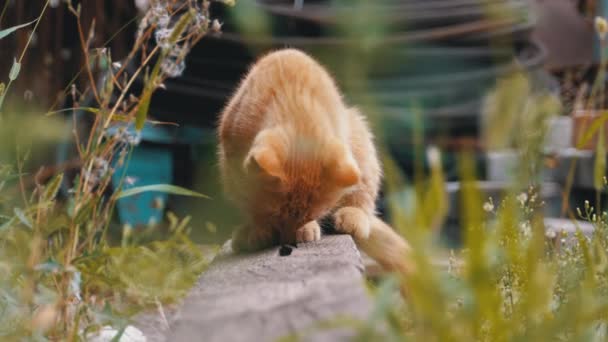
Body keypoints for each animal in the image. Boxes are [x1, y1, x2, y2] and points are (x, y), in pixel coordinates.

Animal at [217, 49, 414, 276]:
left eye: (309, 215)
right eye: (276, 215)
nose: (287, 241)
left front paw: (306, 228)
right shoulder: (231, 167)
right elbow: (250, 203)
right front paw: (259, 228)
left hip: (359, 135)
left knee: (364, 197)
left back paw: (354, 216)